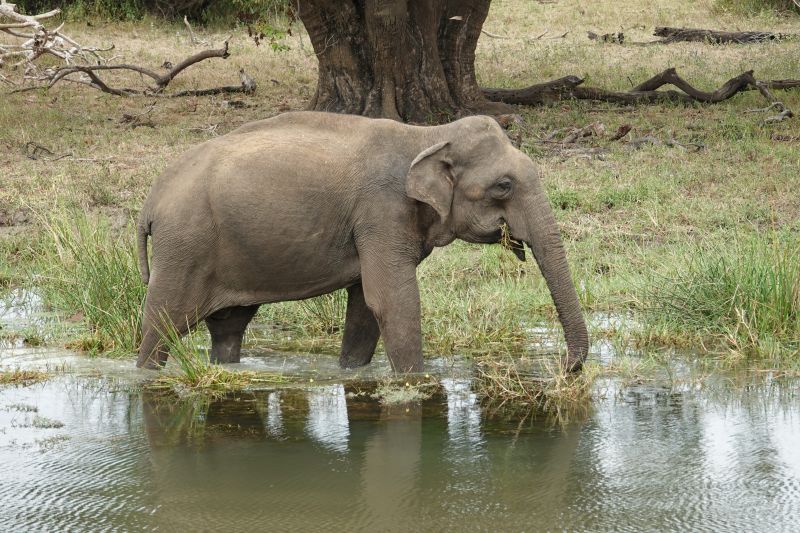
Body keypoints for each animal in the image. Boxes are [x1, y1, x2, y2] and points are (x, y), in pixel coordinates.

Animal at [135, 111, 589, 373]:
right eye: (503, 186)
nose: (563, 366)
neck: (428, 135)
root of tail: (150, 202)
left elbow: (365, 306)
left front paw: (353, 373)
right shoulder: (382, 211)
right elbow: (393, 300)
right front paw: (417, 382)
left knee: (229, 327)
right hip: (184, 246)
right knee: (162, 325)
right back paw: (147, 373)